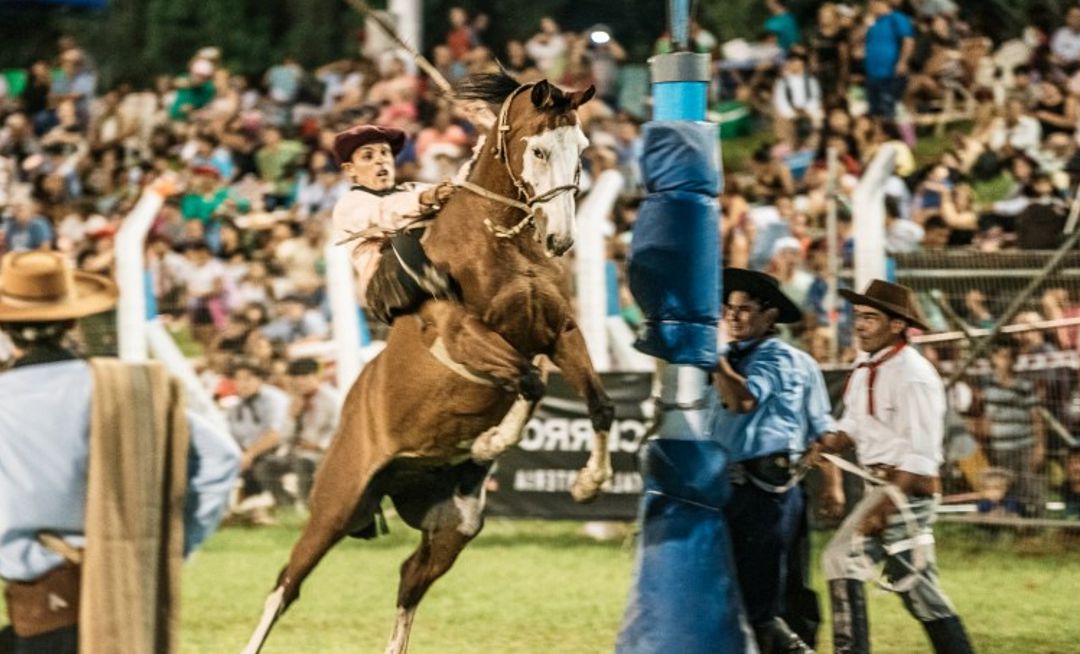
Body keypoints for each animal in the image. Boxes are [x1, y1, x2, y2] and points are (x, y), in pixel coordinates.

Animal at [245, 76, 617, 654]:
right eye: (537, 149)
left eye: (579, 149)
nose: (560, 238)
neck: (494, 243)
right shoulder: (466, 337)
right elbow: (530, 382)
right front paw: (491, 442)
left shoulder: (561, 333)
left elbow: (599, 404)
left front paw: (588, 483)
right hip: (336, 506)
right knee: (286, 585)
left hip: (452, 527)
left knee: (409, 579)